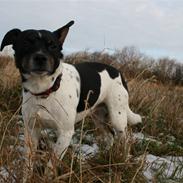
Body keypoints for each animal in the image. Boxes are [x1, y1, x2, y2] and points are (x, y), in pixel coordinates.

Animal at [0, 20, 142, 181]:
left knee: (124, 139)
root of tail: (119, 72)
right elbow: (27, 163)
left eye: (53, 46)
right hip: (98, 117)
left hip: (118, 117)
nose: (40, 58)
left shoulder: (65, 133)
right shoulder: (31, 131)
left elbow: (51, 164)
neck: (45, 90)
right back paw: (104, 156)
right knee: (109, 135)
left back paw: (124, 160)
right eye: (26, 42)